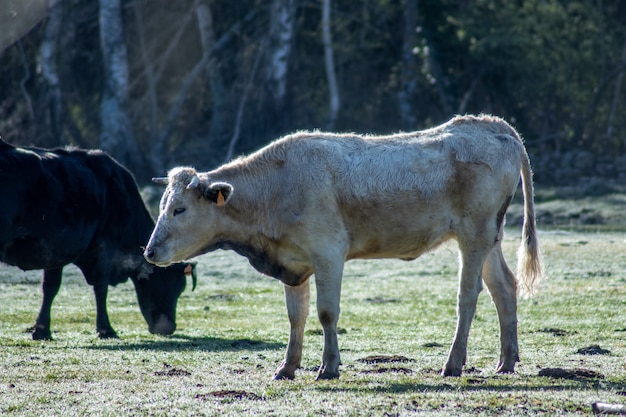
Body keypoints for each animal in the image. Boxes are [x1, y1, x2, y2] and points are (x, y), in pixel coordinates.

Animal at [0, 138, 195, 340]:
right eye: (176, 285)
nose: (169, 327)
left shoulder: (55, 249)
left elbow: (50, 287)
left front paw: (41, 329)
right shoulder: (103, 247)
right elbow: (101, 288)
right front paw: (105, 329)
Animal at [144, 114, 540, 380]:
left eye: (179, 209)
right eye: (162, 205)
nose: (149, 251)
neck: (276, 189)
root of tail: (494, 126)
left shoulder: (328, 253)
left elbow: (326, 312)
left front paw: (329, 367)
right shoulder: (294, 263)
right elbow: (296, 316)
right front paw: (287, 367)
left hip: (474, 234)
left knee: (468, 296)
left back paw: (454, 364)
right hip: (489, 237)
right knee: (504, 288)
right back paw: (506, 361)